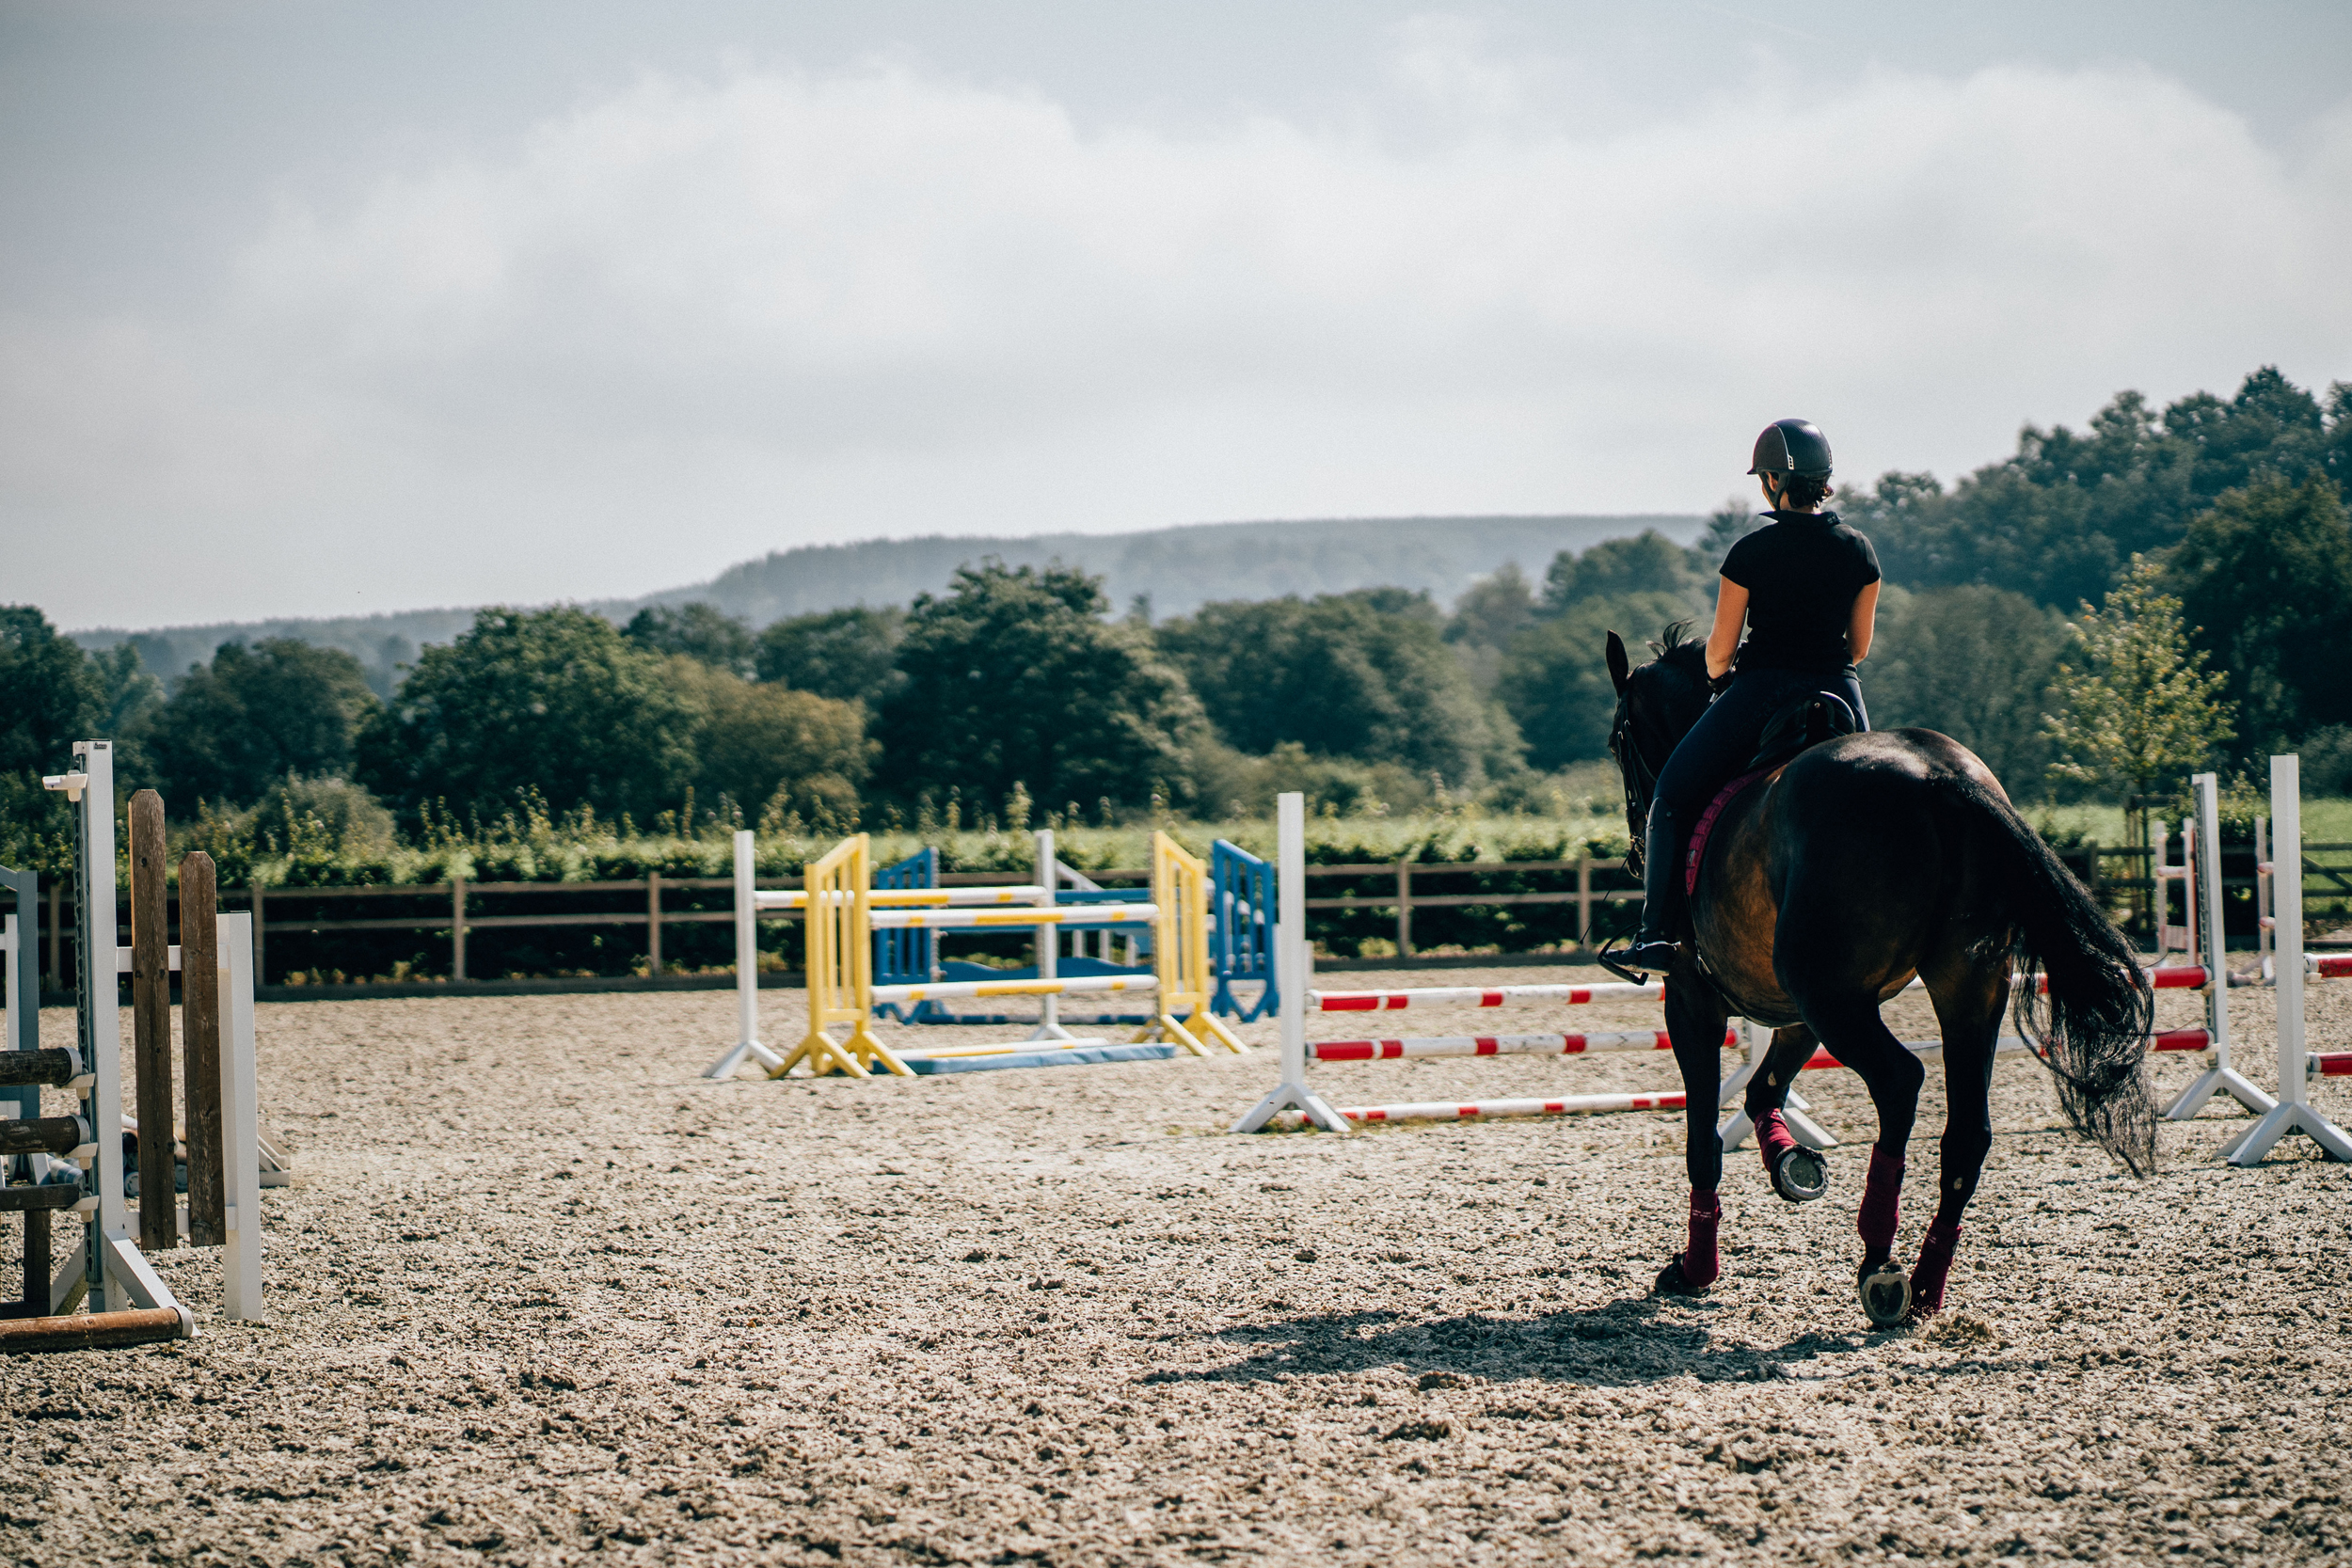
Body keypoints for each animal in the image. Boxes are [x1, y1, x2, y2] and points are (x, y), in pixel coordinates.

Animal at [1609, 625, 2154, 1325]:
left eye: (1618, 739)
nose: (1633, 852)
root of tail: (1940, 777)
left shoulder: (1695, 1003)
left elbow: (1703, 1137)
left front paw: (1695, 1268)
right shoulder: (1796, 1014)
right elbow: (1761, 1091)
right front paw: (1791, 1162)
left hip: (1838, 1001)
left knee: (1900, 1080)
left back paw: (1879, 1265)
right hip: (1964, 990)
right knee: (1967, 1132)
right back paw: (1924, 1284)